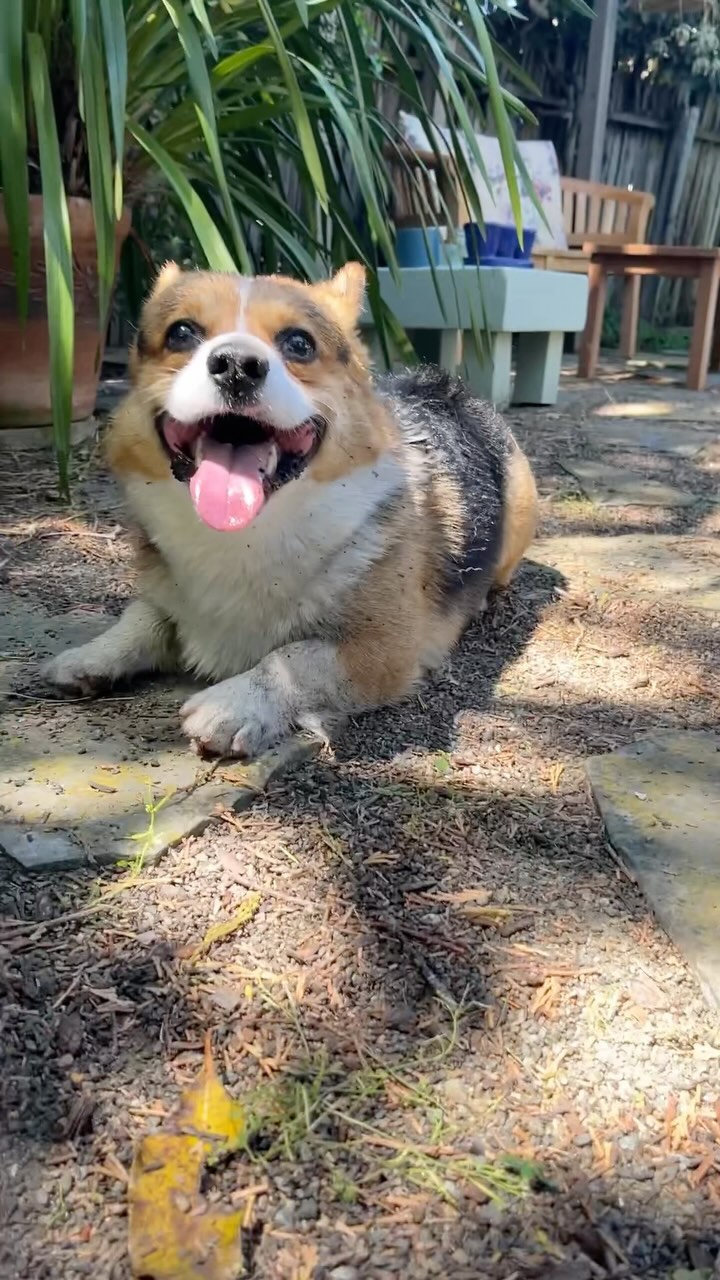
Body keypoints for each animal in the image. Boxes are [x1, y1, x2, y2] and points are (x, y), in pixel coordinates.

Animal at [39, 262, 532, 757]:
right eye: (181, 333)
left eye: (299, 343)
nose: (237, 366)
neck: (243, 537)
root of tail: (447, 388)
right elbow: (143, 615)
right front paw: (94, 655)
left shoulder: (384, 648)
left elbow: (293, 657)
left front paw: (233, 703)